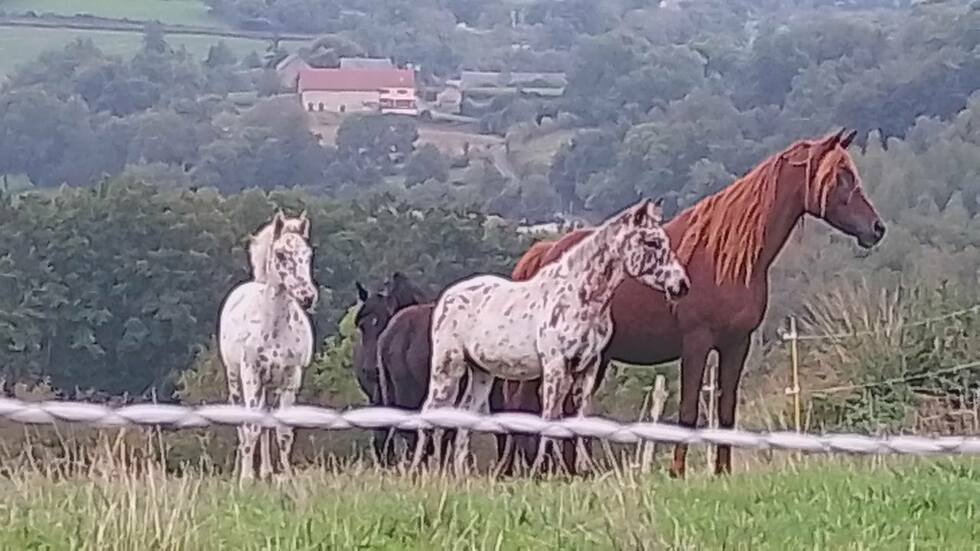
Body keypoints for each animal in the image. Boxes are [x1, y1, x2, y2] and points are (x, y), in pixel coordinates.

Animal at [218, 211, 318, 481]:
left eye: (308, 254)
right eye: (281, 254)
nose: (308, 297)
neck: (274, 328)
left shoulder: (291, 378)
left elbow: (283, 433)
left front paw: (287, 477)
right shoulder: (251, 374)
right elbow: (251, 426)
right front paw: (245, 479)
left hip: (270, 387)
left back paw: (266, 472)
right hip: (237, 379)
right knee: (244, 424)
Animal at [414, 198, 690, 475]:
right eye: (651, 242)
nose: (681, 285)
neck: (579, 296)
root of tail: (447, 297)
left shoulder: (588, 367)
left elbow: (578, 419)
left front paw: (578, 469)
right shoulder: (556, 366)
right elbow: (549, 417)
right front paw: (542, 470)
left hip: (481, 372)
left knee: (465, 416)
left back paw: (459, 473)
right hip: (448, 367)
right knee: (430, 412)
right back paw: (420, 469)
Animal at [502, 129, 887, 477]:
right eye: (840, 176)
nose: (876, 228)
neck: (726, 259)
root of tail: (542, 254)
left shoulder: (736, 345)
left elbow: (726, 412)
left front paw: (722, 472)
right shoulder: (697, 344)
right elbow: (688, 413)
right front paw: (677, 472)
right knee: (524, 406)